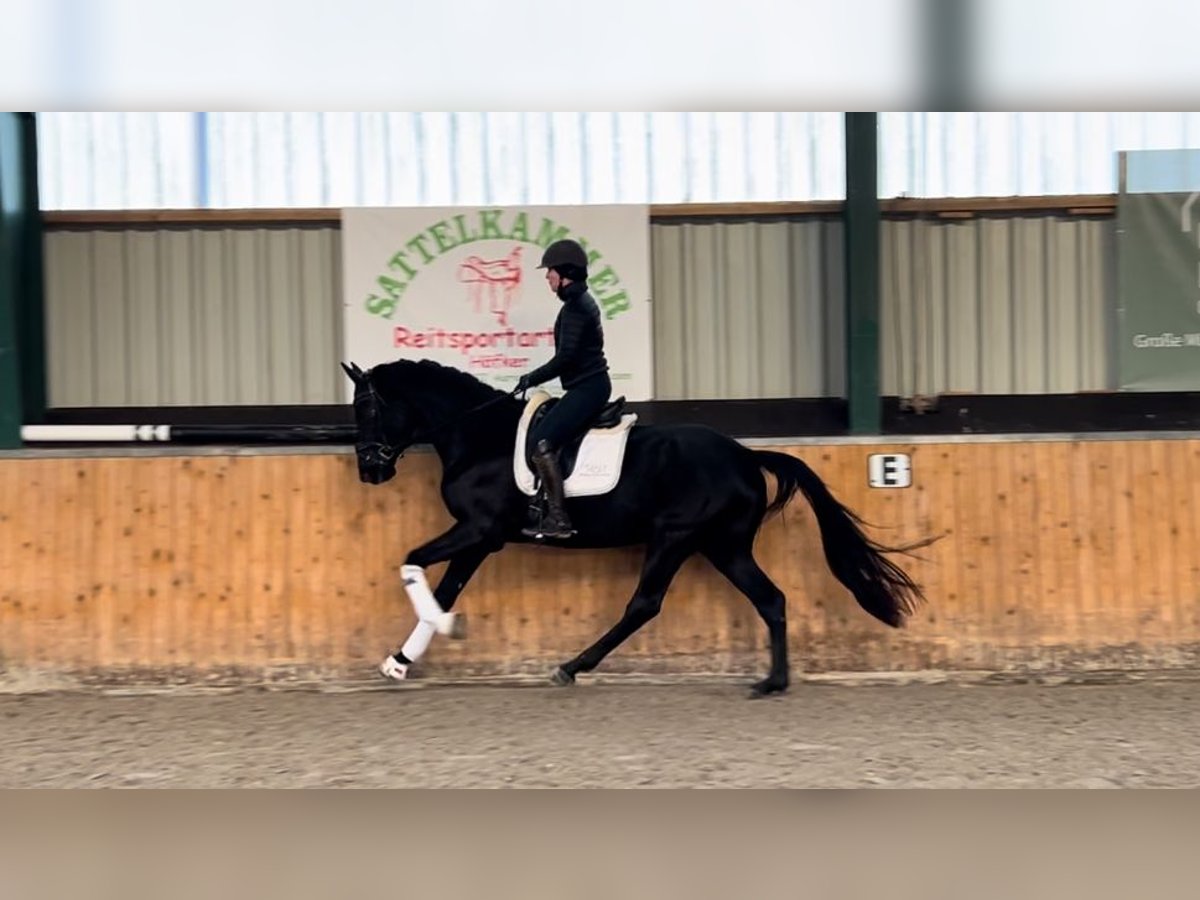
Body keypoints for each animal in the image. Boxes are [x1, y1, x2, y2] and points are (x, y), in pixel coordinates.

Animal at [343, 360, 931, 696]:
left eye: (367, 408)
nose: (370, 469)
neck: (479, 436)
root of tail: (744, 454)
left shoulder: (479, 530)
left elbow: (414, 565)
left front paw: (442, 632)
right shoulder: (479, 537)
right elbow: (444, 587)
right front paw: (400, 663)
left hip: (675, 537)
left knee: (644, 604)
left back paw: (571, 667)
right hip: (723, 546)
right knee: (771, 600)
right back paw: (772, 683)